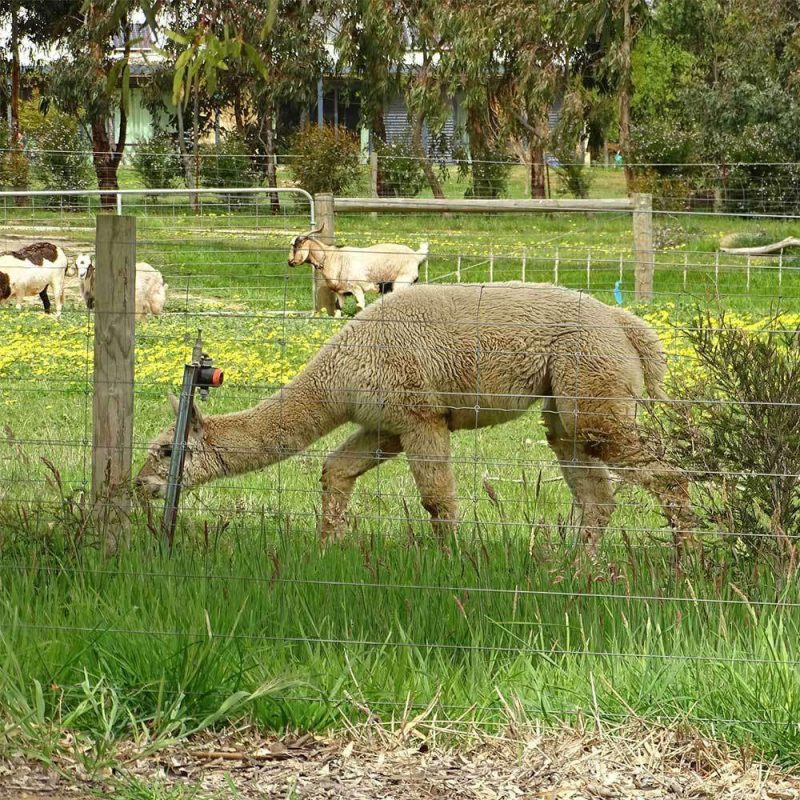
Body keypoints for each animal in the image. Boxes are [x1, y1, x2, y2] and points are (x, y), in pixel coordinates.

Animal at [286, 227, 424, 318]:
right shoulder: (341, 292)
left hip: (401, 283)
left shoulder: (357, 288)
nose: (290, 262)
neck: (333, 258)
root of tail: (416, 255)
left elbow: (360, 306)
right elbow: (338, 310)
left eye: (297, 245)